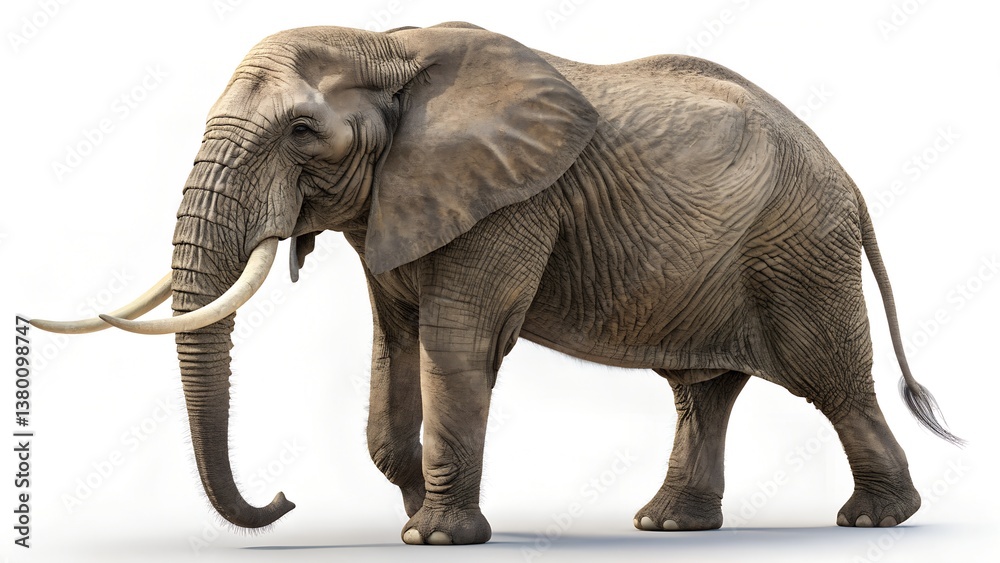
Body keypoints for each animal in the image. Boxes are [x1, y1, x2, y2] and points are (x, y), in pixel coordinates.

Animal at [32, 22, 962, 545]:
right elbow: (396, 344)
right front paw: (416, 507)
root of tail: (848, 177)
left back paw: (876, 519)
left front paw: (436, 534)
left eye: (300, 132)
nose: (284, 497)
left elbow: (458, 342)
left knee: (831, 380)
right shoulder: (401, 203)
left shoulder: (511, 204)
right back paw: (667, 523)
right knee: (704, 390)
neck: (389, 45)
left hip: (798, 247)